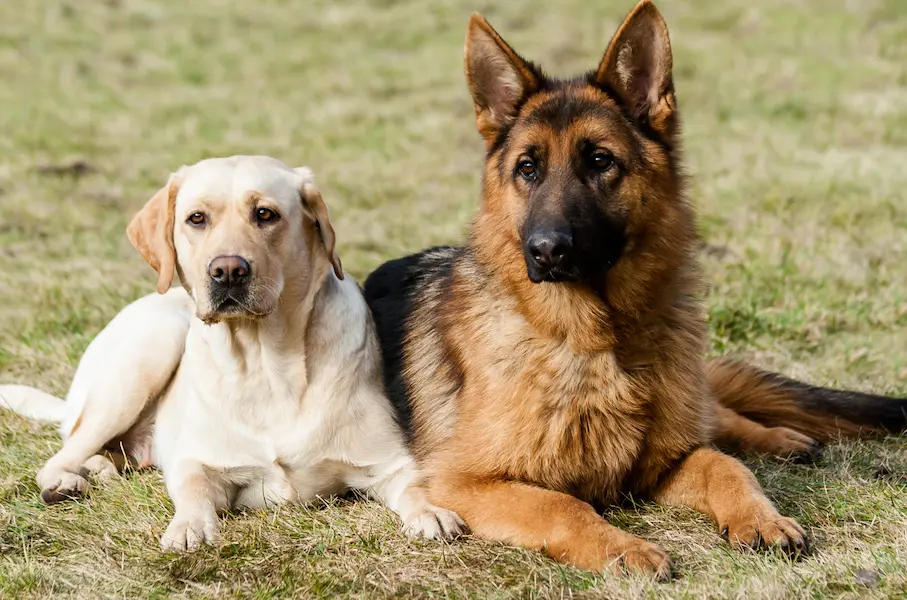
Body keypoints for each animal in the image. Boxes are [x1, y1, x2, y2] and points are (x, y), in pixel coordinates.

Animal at [0, 156, 464, 552]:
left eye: (265, 214)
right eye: (197, 218)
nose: (227, 271)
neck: (265, 362)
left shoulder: (390, 462)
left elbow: (416, 486)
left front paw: (432, 513)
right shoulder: (197, 461)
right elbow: (193, 491)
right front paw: (188, 528)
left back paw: (101, 468)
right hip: (151, 349)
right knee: (63, 451)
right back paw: (68, 480)